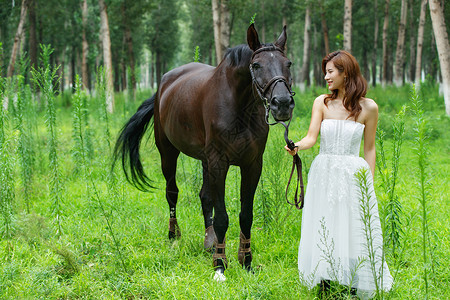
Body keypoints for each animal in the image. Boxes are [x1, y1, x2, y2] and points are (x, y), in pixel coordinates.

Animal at [112, 24, 296, 282]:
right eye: (257, 65)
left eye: (287, 63)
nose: (282, 104)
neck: (240, 108)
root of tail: (163, 86)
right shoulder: (219, 163)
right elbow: (222, 217)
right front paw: (220, 265)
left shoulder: (252, 164)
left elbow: (245, 215)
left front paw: (246, 261)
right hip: (168, 153)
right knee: (172, 193)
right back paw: (174, 236)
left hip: (205, 160)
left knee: (204, 196)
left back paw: (209, 241)